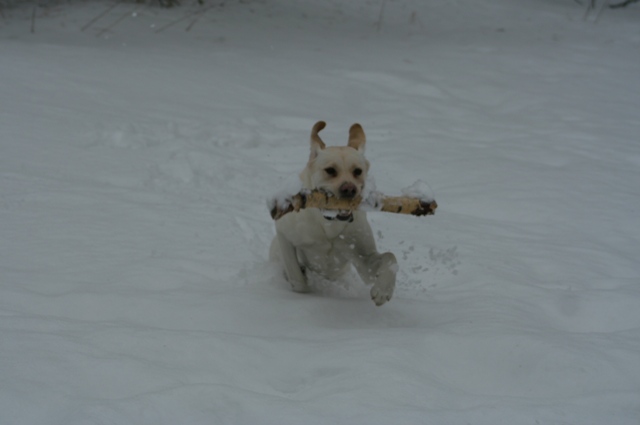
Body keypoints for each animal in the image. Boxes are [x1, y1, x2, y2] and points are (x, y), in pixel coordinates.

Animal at [270, 121, 398, 306]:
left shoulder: (362, 258)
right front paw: (302, 291)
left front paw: (383, 290)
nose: (349, 189)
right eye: (330, 170)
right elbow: (296, 276)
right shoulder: (284, 234)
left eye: (357, 171)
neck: (328, 224)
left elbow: (390, 258)